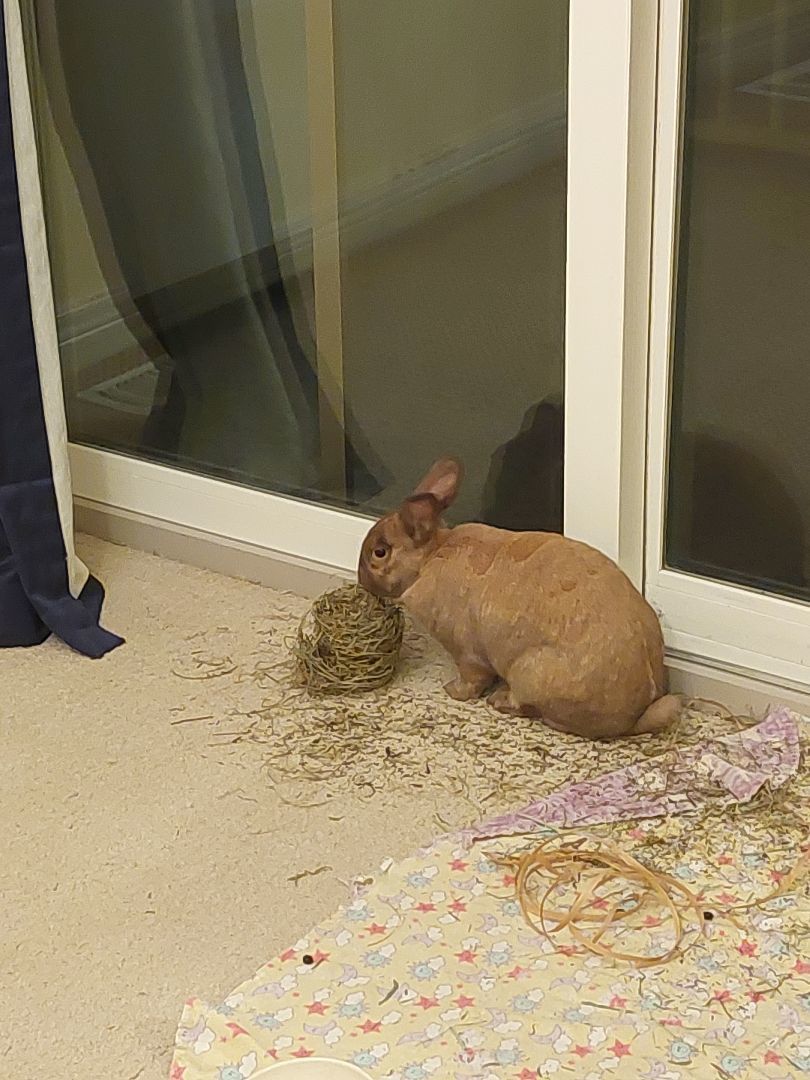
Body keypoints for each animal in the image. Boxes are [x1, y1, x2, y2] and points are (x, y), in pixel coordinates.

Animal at [358, 458, 681, 740]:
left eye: (380, 552)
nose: (362, 580)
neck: (430, 556)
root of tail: (633, 717)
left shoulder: (466, 652)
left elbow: (472, 679)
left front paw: (452, 691)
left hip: (529, 672)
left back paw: (500, 700)